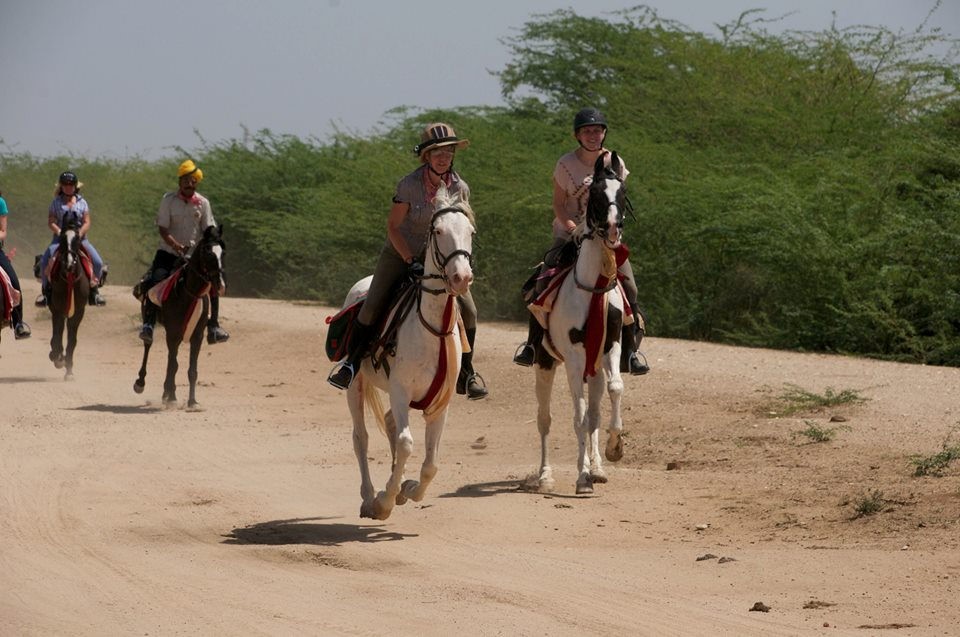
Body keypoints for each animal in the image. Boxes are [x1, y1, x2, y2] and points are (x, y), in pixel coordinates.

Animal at [47, 221, 91, 379]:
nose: (69, 264)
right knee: (56, 331)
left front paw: (69, 369)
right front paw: (58, 358)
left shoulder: (79, 311)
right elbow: (58, 333)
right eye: (61, 238)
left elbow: (72, 339)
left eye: (77, 239)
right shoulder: (58, 309)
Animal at [134, 225, 225, 407]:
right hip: (152, 323)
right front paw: (172, 398)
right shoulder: (173, 333)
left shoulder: (197, 336)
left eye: (222, 253)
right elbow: (173, 365)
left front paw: (192, 402)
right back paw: (142, 383)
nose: (220, 285)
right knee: (149, 345)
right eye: (208, 252)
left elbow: (191, 369)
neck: (189, 293)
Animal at [342, 183, 475, 520]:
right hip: (356, 386)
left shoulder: (441, 401)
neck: (431, 328)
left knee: (389, 424)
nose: (461, 277)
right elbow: (405, 443)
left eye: (470, 231)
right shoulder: (401, 390)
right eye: (438, 230)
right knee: (361, 438)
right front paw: (384, 500)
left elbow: (431, 463)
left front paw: (408, 488)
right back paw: (368, 498)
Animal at [527, 152, 629, 494]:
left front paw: (613, 450)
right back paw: (546, 476)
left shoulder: (610, 348)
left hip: (592, 368)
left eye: (622, 193)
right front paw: (582, 478)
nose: (612, 228)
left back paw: (596, 467)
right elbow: (579, 417)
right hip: (545, 363)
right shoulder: (573, 358)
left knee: (594, 413)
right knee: (545, 419)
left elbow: (614, 390)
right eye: (595, 194)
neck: (591, 289)